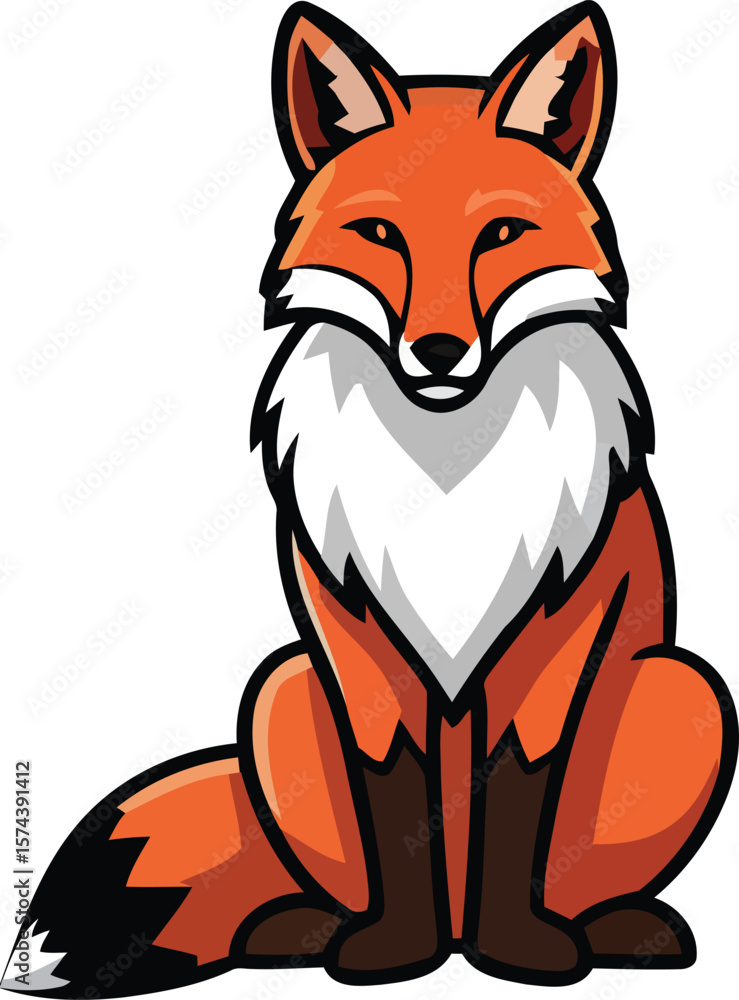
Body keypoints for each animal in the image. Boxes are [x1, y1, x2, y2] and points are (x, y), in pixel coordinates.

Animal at [4, 2, 737, 995]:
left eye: (500, 236)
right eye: (382, 237)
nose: (438, 352)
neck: (445, 469)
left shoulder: (553, 639)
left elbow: (516, 792)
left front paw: (519, 951)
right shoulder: (352, 642)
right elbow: (392, 801)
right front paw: (395, 951)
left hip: (684, 685)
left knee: (584, 882)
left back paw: (613, 929)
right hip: (281, 684)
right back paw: (306, 929)